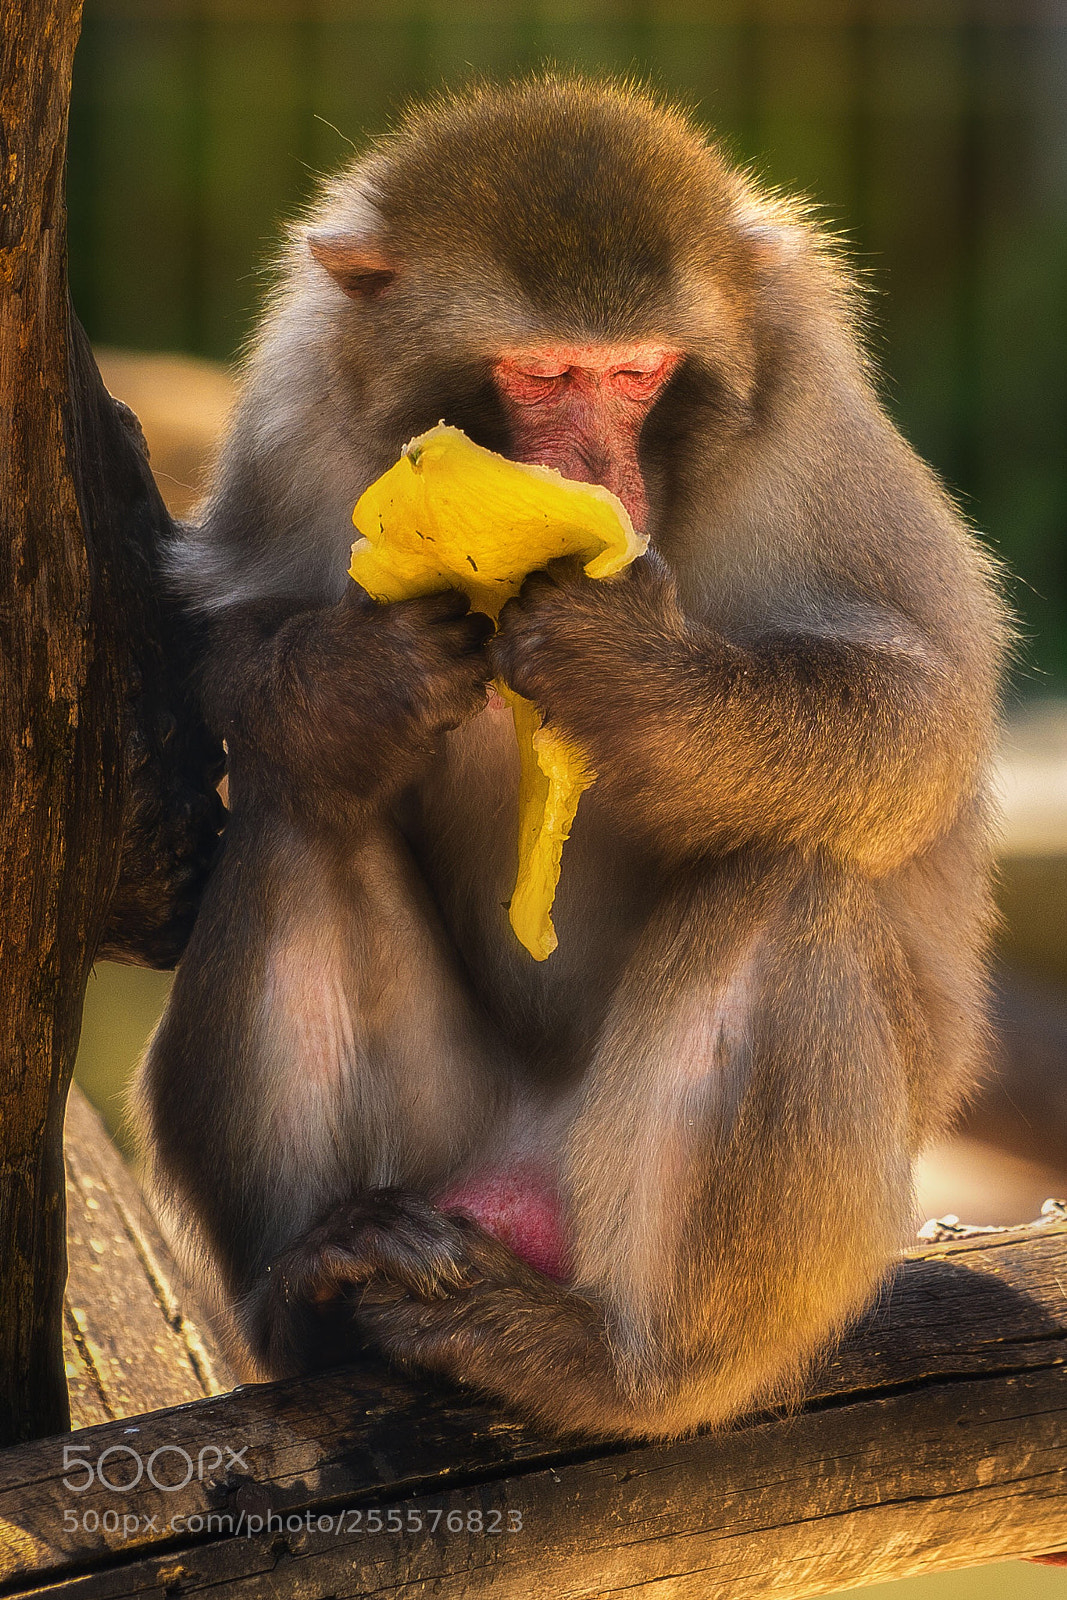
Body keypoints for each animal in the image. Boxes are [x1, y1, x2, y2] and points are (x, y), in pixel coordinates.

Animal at [136, 77, 1010, 1440]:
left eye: (638, 372)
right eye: (546, 372)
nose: (595, 474)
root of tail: (522, 1184)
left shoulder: (808, 420)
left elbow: (918, 710)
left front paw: (623, 670)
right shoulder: (298, 394)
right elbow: (223, 628)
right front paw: (361, 677)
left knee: (790, 874)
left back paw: (623, 1366)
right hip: (442, 1147)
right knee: (299, 804)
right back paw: (311, 1289)